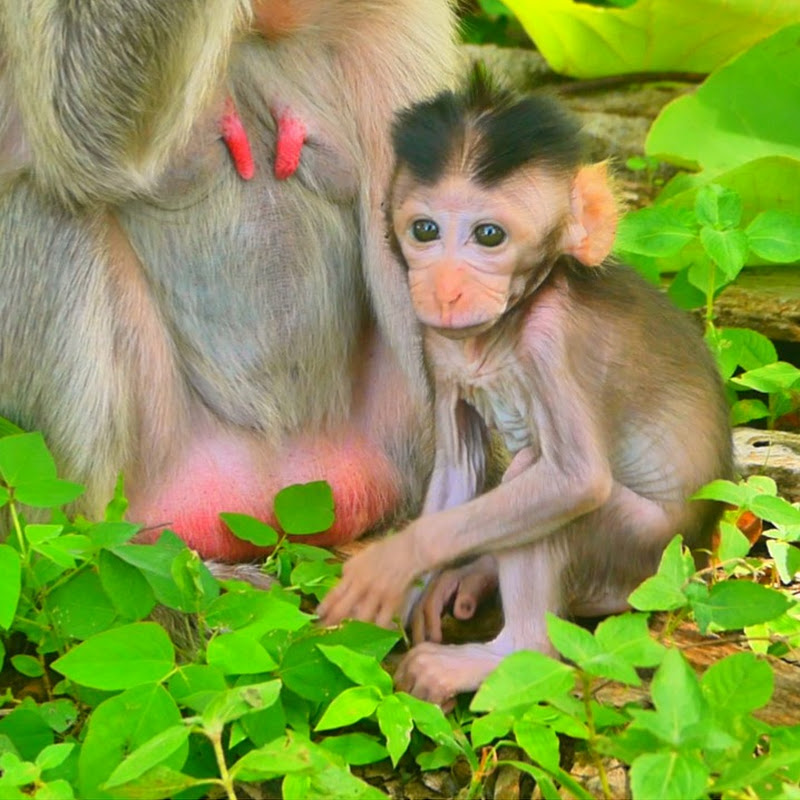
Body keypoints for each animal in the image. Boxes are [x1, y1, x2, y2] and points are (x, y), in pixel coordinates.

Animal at [317, 75, 733, 706]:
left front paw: (394, 561)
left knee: (543, 479)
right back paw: (475, 574)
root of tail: (698, 551)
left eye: (489, 236)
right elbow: (459, 471)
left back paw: (501, 656)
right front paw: (401, 599)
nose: (446, 287)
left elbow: (576, 479)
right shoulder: (437, 346)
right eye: (425, 231)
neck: (502, 330)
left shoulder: (552, 343)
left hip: (643, 552)